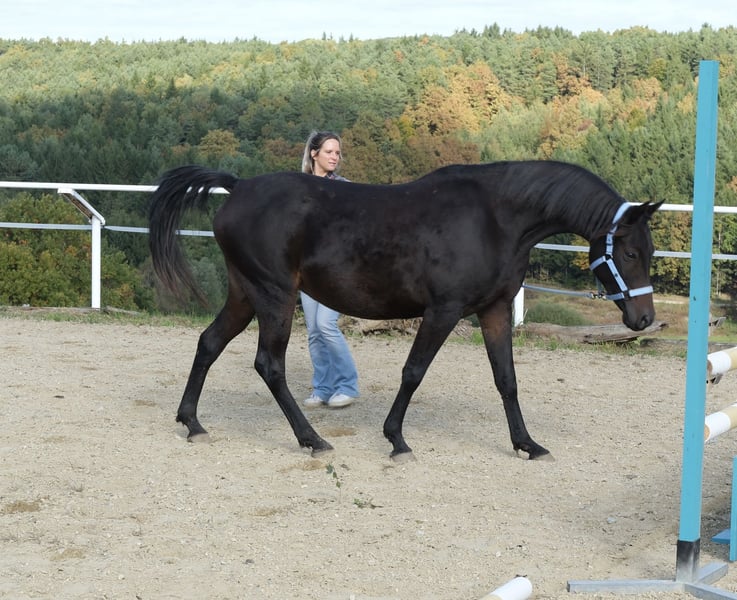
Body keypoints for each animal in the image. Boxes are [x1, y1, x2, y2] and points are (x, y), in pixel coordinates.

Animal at [148, 160, 662, 461]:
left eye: (650, 251)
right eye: (630, 252)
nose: (642, 320)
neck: (495, 218)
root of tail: (238, 187)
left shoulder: (494, 310)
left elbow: (507, 380)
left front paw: (527, 444)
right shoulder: (444, 311)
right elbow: (413, 372)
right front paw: (396, 439)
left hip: (245, 295)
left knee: (209, 343)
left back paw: (192, 423)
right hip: (274, 296)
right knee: (269, 366)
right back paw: (312, 439)